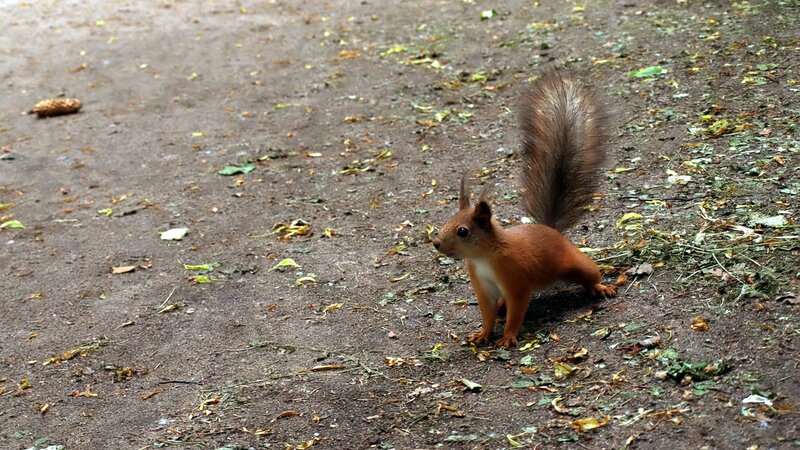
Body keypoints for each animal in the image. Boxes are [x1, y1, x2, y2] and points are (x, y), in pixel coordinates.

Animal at [432, 70, 617, 348]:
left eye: (463, 231)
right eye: (446, 221)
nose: (436, 243)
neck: (483, 257)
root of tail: (550, 229)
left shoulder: (515, 277)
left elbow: (517, 310)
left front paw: (508, 337)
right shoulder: (482, 286)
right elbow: (487, 312)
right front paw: (483, 333)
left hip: (575, 262)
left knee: (589, 272)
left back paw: (600, 287)